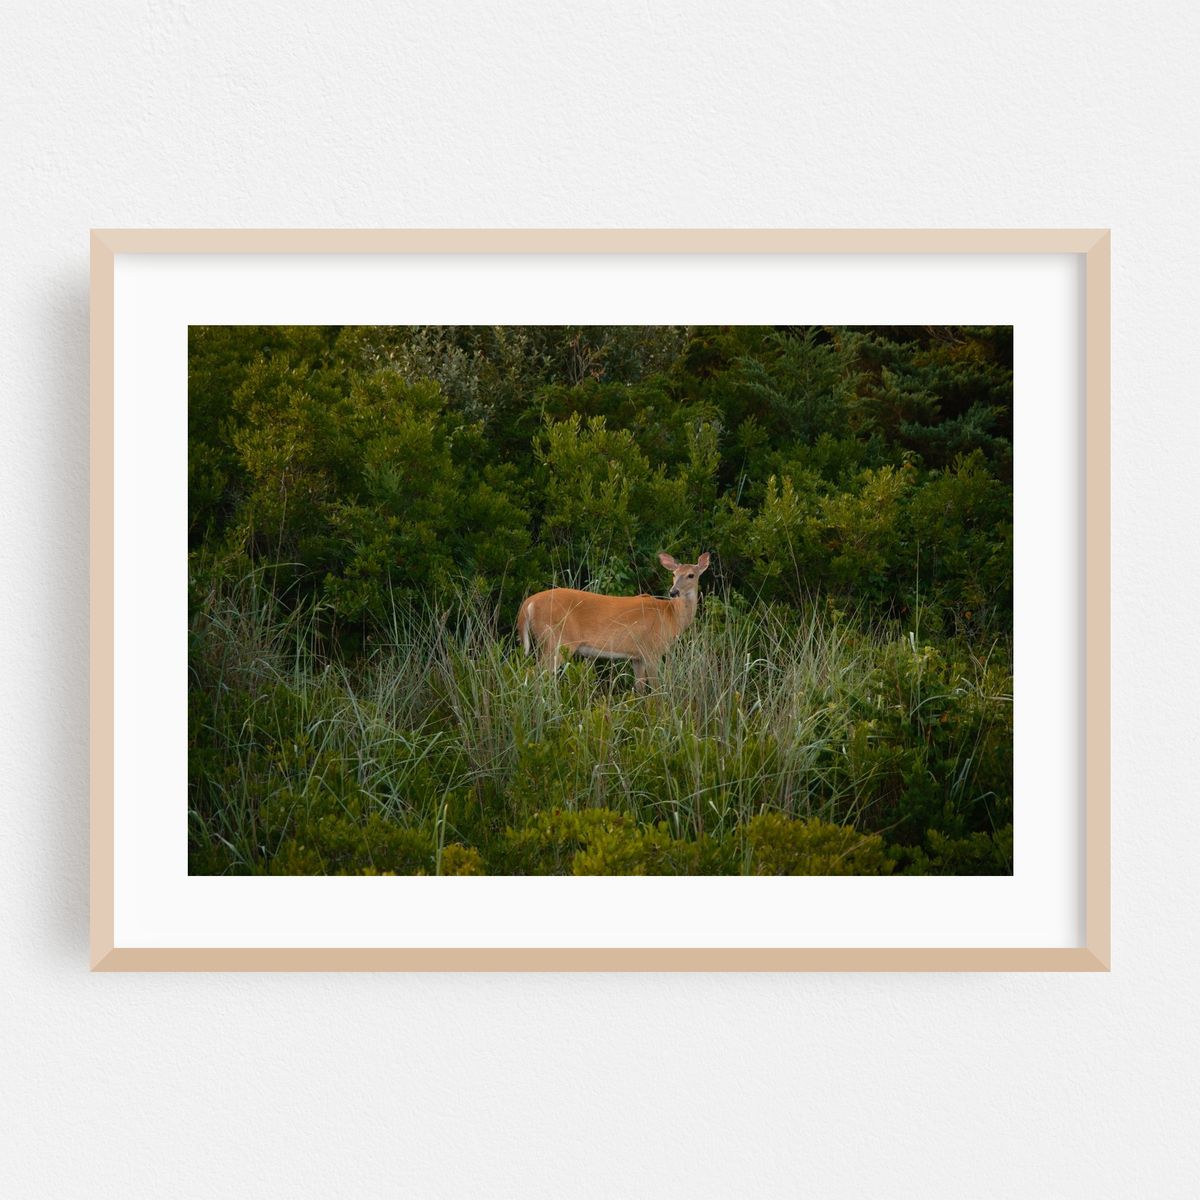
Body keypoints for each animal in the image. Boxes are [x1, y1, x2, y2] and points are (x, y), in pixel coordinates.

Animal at [516, 552, 711, 690]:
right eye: (674, 574)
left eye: (691, 575)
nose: (673, 592)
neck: (671, 616)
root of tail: (528, 603)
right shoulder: (651, 650)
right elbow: (656, 689)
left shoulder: (637, 656)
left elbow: (640, 688)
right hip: (557, 640)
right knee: (535, 674)